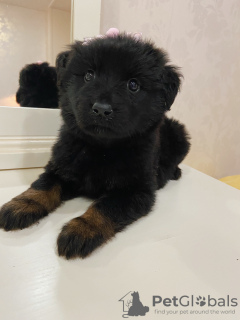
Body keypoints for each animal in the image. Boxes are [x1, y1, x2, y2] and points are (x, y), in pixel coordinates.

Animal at [0, 33, 190, 258]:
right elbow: (42, 186)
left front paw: (82, 230)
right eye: (89, 75)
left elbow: (105, 207)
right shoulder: (60, 166)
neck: (102, 148)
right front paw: (21, 205)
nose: (101, 109)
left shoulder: (136, 191)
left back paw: (175, 172)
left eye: (133, 85)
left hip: (180, 134)